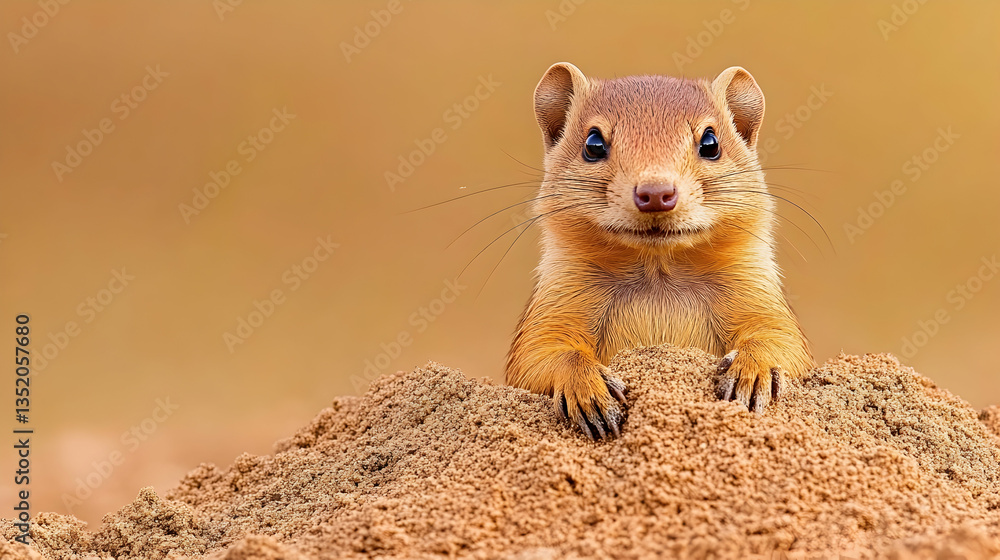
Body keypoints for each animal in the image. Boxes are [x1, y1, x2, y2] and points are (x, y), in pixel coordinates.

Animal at [505, 63, 813, 440]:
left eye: (710, 142)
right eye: (593, 143)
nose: (655, 193)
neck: (658, 275)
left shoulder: (760, 297)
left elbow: (781, 342)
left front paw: (750, 375)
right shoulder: (551, 310)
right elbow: (542, 357)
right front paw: (593, 396)